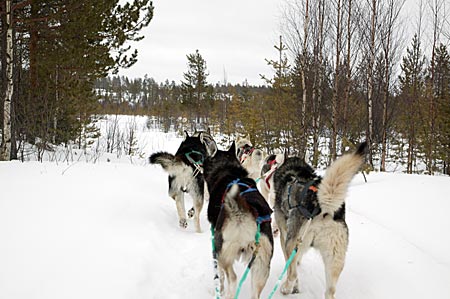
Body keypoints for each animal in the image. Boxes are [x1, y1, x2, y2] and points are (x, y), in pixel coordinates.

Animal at [204, 142, 274, 298]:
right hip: (261, 266)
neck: (227, 170)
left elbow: (220, 276)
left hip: (224, 252)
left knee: (233, 278)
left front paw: (220, 289)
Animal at [274, 142, 366, 298]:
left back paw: (286, 289)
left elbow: (291, 265)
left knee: (292, 275)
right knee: (330, 291)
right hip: (334, 259)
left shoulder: (284, 234)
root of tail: (321, 207)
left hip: (292, 242)